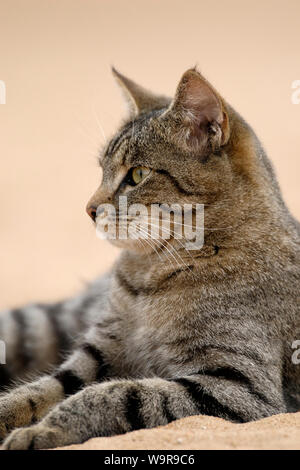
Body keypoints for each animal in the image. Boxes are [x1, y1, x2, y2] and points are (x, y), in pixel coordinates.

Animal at [0, 66, 298, 448]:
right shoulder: (98, 352)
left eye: (137, 175)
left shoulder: (239, 386)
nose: (89, 208)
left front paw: (43, 430)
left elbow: (113, 395)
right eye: (101, 170)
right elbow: (40, 389)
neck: (151, 276)